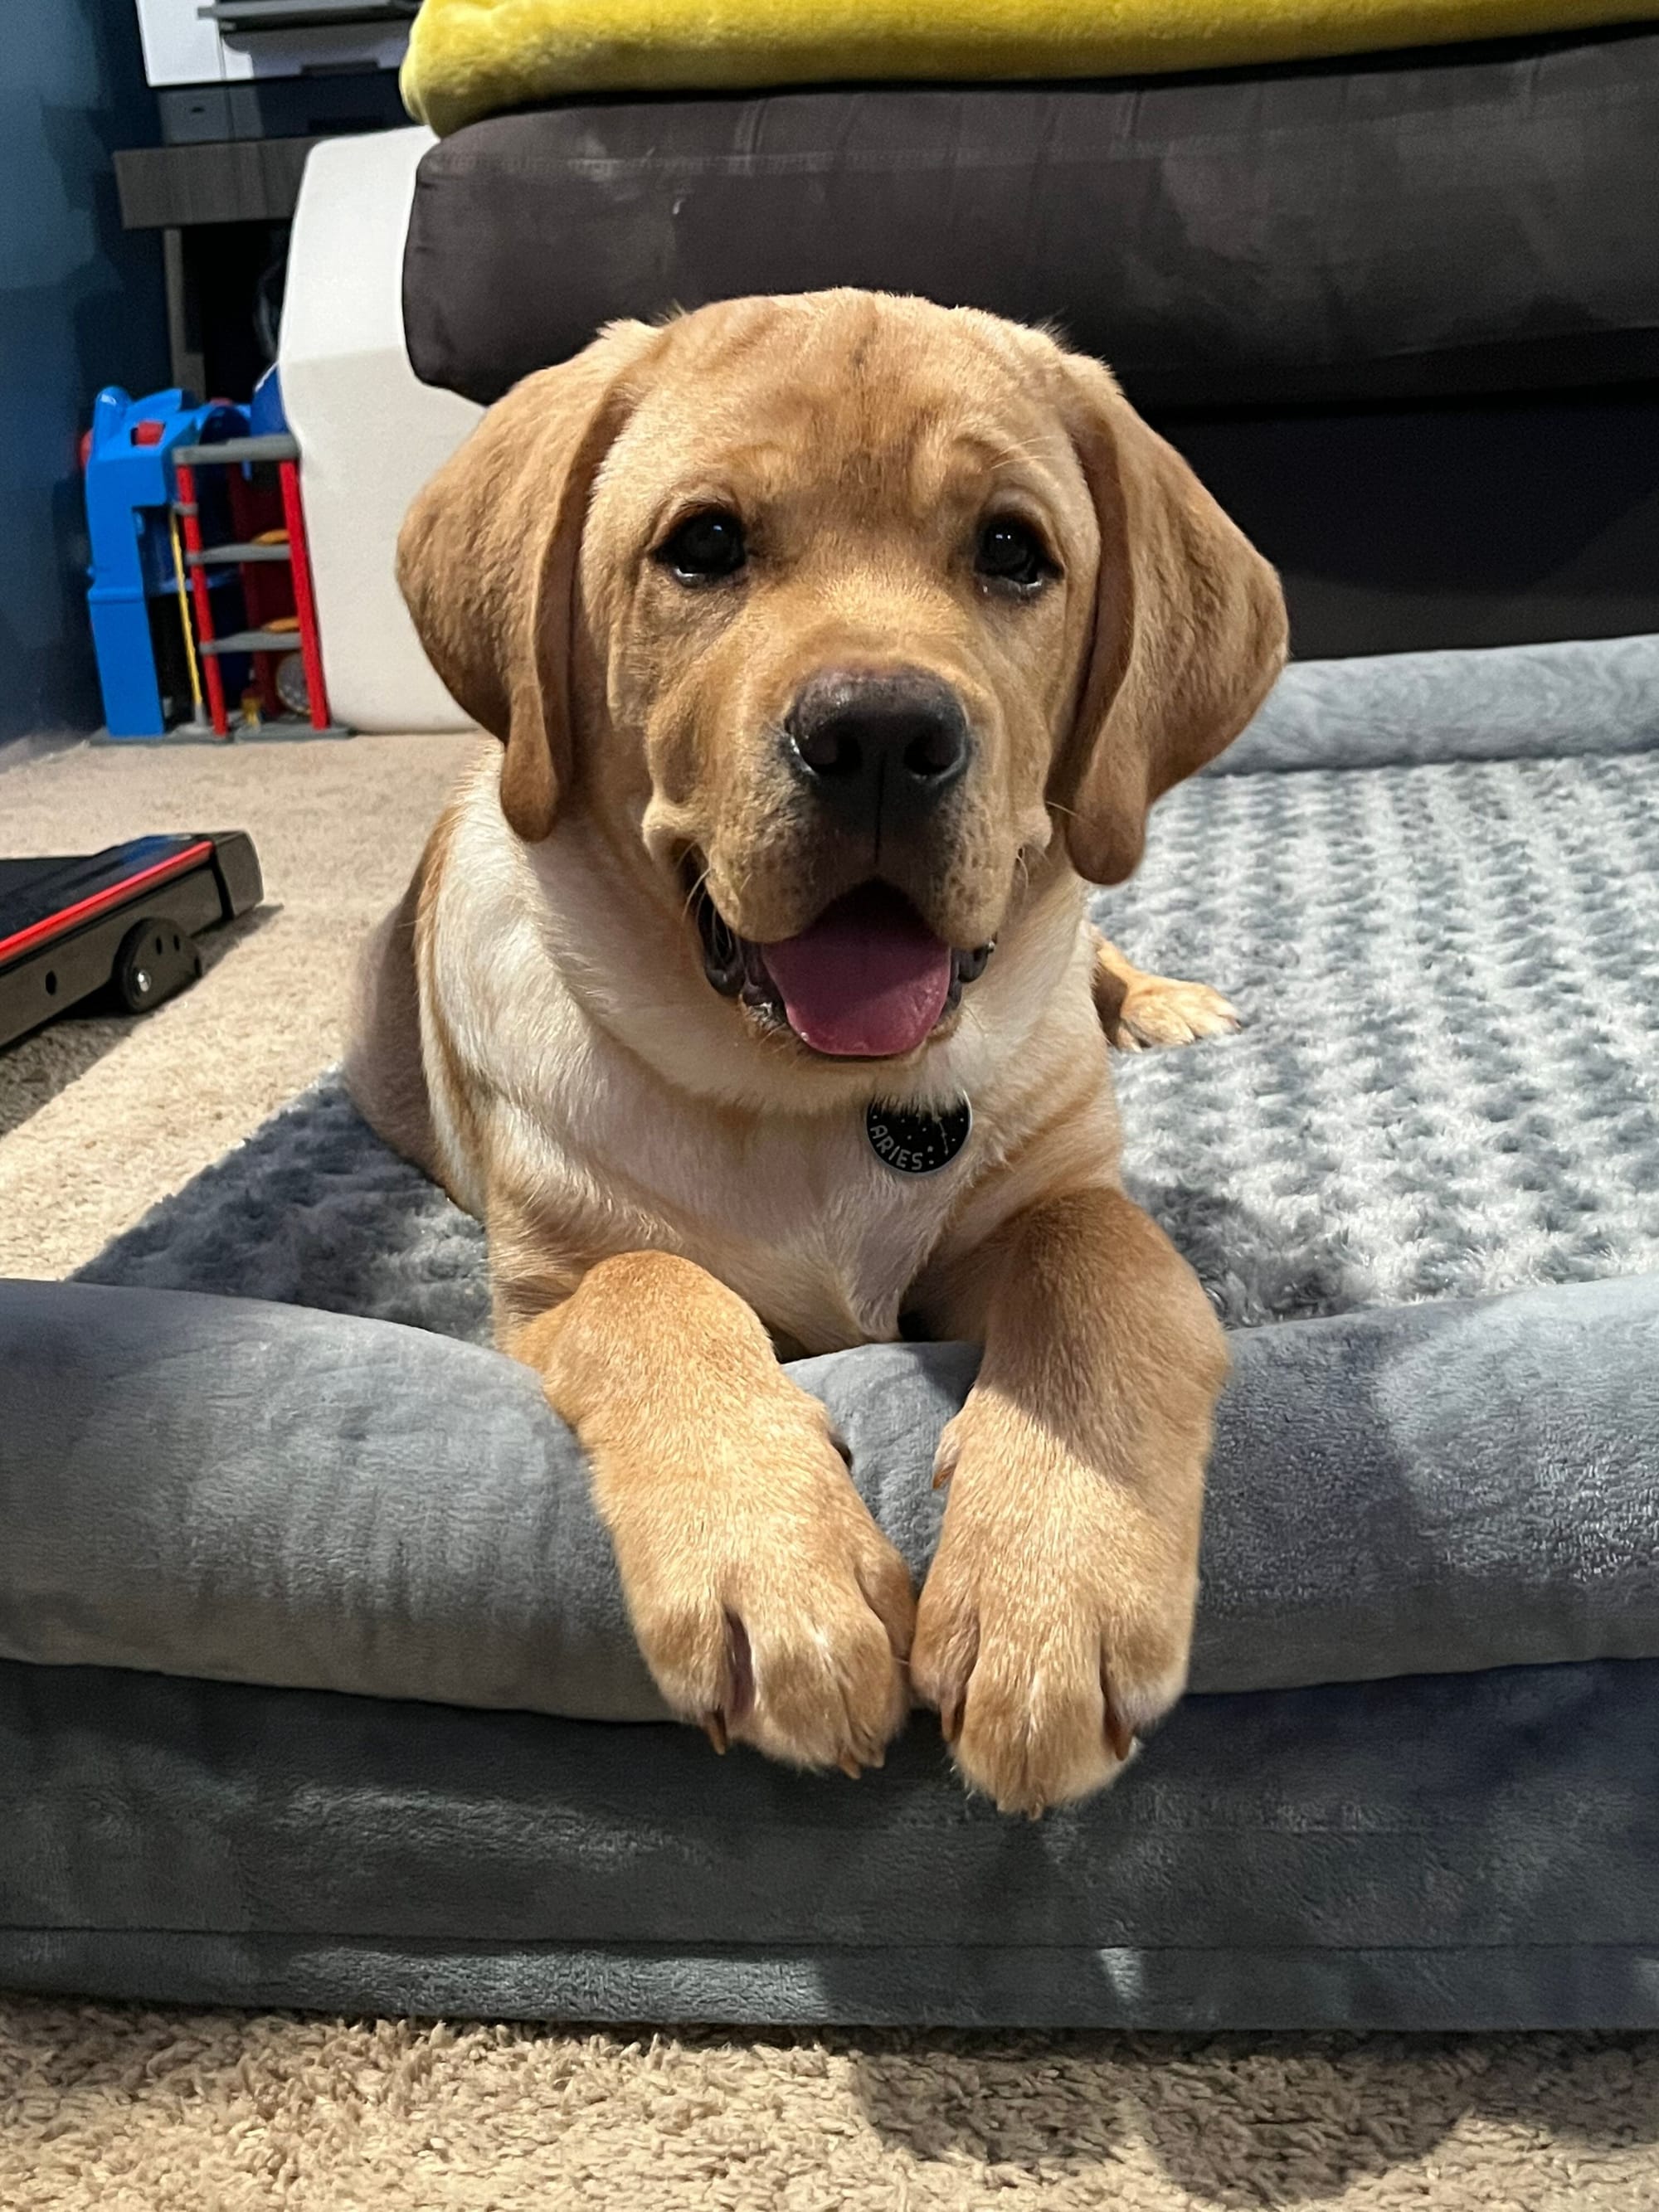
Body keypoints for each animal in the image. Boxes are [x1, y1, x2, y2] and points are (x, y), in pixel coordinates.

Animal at [349, 290, 1286, 1815]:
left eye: (1013, 550)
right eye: (704, 544)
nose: (882, 734)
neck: (826, 1101)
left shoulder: (1051, 1194)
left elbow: (1100, 1266)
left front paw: (1053, 1591)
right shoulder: (544, 1282)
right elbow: (653, 1287)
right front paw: (774, 1573)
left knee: (1100, 959)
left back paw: (1164, 1002)